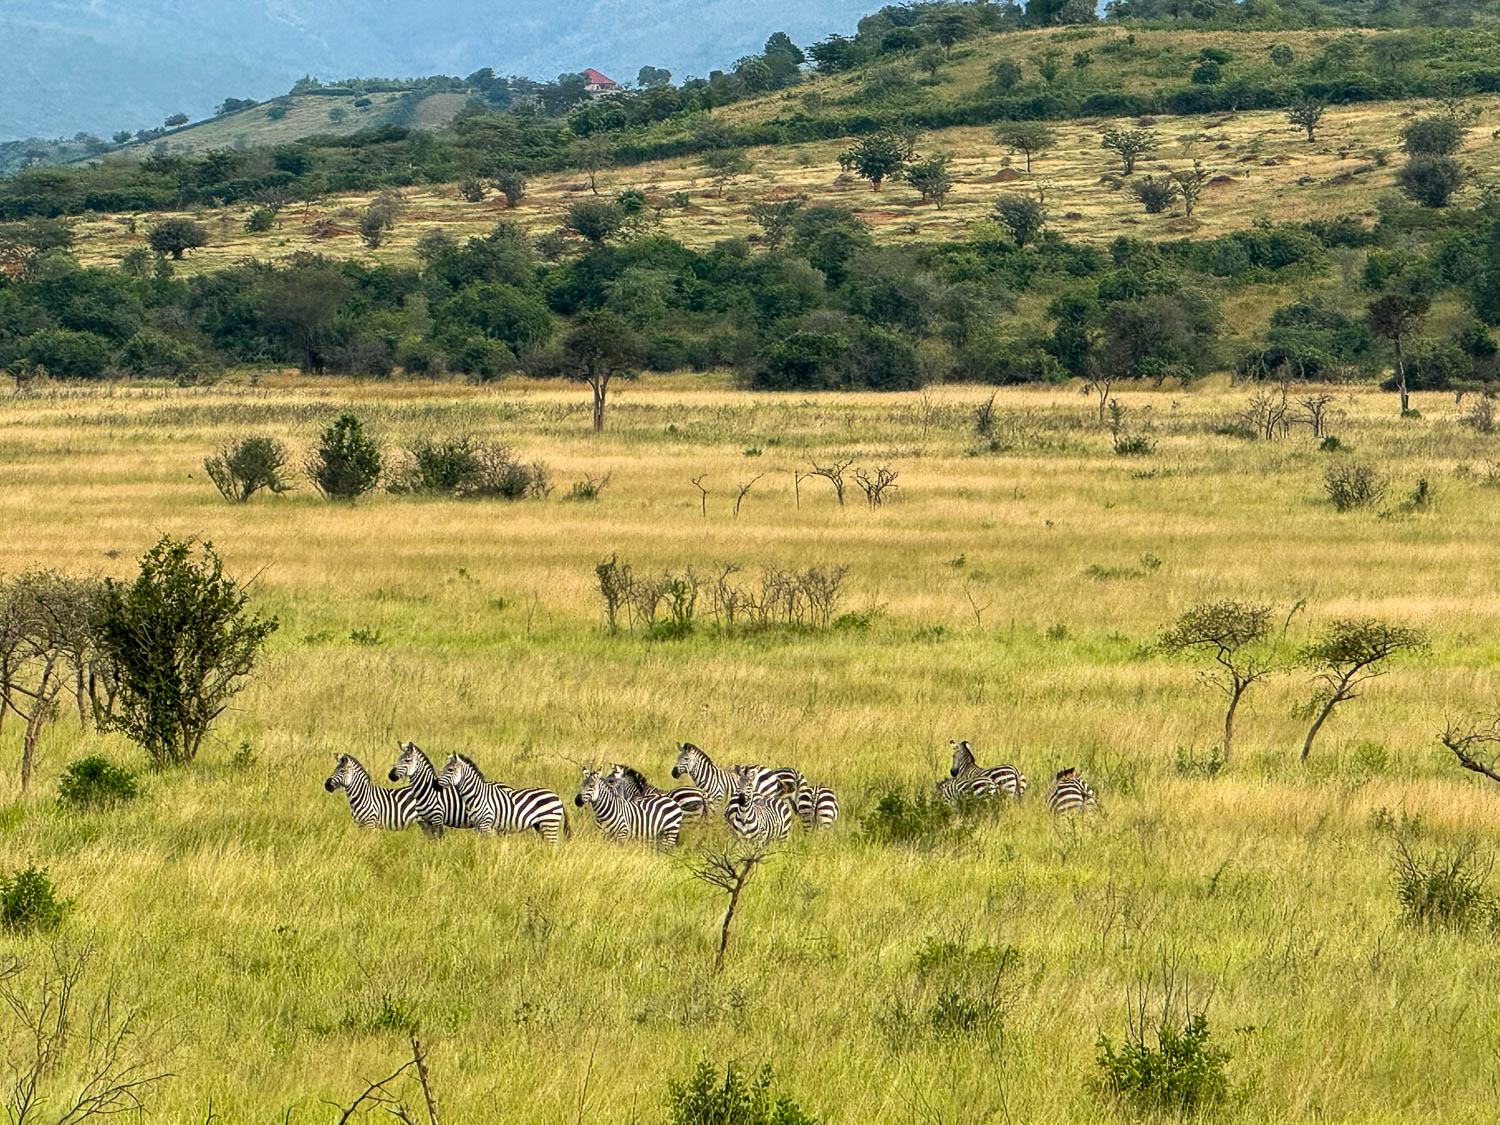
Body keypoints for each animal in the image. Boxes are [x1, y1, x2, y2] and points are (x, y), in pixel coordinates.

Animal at [434, 753, 569, 842]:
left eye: (450, 769)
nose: (435, 784)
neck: (476, 795)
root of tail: (557, 797)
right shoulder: (477, 827)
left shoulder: (486, 825)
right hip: (540, 825)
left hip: (549, 823)